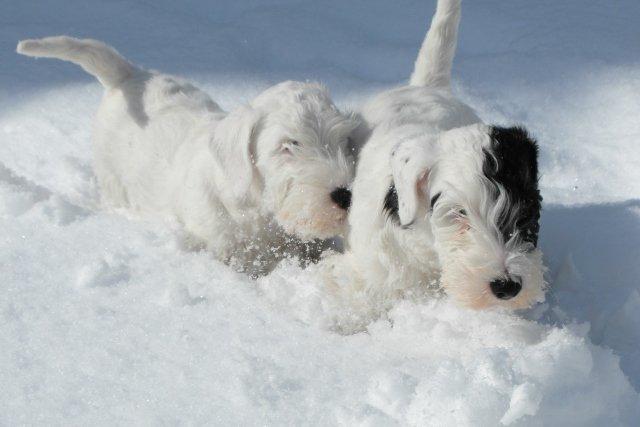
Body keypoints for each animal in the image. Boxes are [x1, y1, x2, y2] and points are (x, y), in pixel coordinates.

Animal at [18, 36, 360, 278]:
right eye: (289, 145)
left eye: (344, 140)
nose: (345, 195)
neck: (261, 215)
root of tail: (127, 75)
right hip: (113, 182)